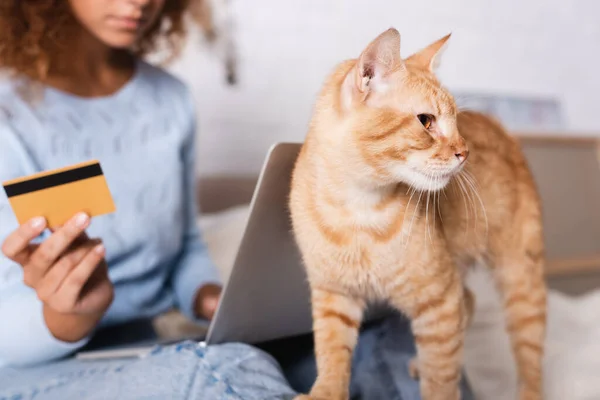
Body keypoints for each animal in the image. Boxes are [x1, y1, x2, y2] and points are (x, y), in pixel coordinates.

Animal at [290, 26, 548, 398]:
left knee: (528, 358)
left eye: (456, 122)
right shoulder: (334, 295)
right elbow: (330, 355)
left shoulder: (439, 301)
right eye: (426, 121)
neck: (359, 210)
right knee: (469, 300)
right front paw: (324, 393)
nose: (464, 152)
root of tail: (499, 126)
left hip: (520, 279)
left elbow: (441, 378)